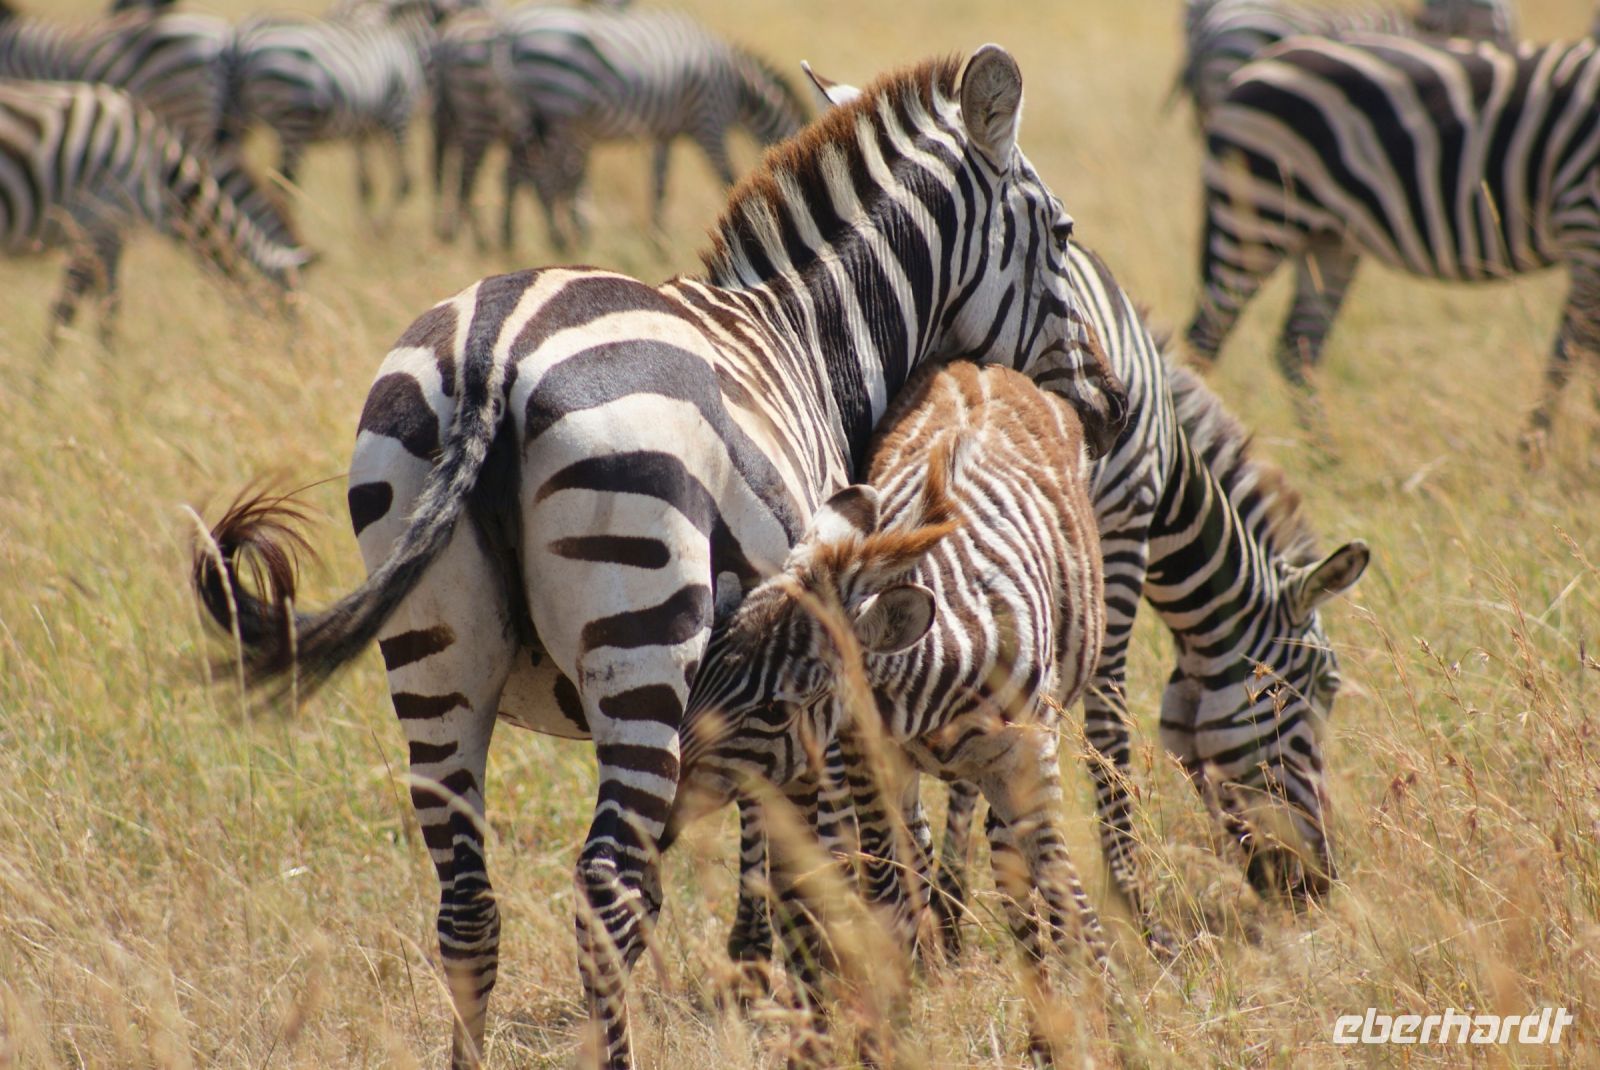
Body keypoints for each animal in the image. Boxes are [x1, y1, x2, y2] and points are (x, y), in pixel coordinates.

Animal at [0, 79, 311, 349]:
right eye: (287, 311)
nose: (298, 360)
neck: (161, 172)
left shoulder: (104, 233)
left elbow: (85, 307)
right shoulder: (99, 225)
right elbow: (89, 311)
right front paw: (101, 378)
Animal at [220, 9, 429, 217]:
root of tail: (244, 40)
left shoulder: (363, 130)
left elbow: (365, 187)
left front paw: (367, 221)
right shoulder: (398, 114)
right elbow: (405, 183)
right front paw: (380, 224)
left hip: (242, 118)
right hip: (293, 122)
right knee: (284, 181)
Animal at [439, 5, 809, 252]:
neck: (737, 86)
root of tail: (509, 34)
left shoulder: (664, 132)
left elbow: (659, 184)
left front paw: (658, 240)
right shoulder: (708, 119)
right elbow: (726, 175)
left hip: (532, 115)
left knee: (514, 173)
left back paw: (508, 238)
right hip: (555, 106)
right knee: (529, 174)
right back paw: (543, 239)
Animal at [667, 359, 1113, 1065]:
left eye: (775, 708)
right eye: (703, 673)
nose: (657, 817)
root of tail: (979, 369)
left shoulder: (1030, 756)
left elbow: (1066, 893)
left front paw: (1110, 1027)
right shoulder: (867, 757)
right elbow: (885, 900)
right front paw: (887, 1033)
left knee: (1010, 869)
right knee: (917, 861)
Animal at [1188, 33, 1600, 447]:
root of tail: (1260, 63)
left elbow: (1572, 354)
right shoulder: (1584, 225)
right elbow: (1572, 356)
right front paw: (1535, 451)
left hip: (1329, 240)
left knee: (1298, 346)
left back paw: (1329, 456)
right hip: (1258, 215)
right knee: (1205, 337)